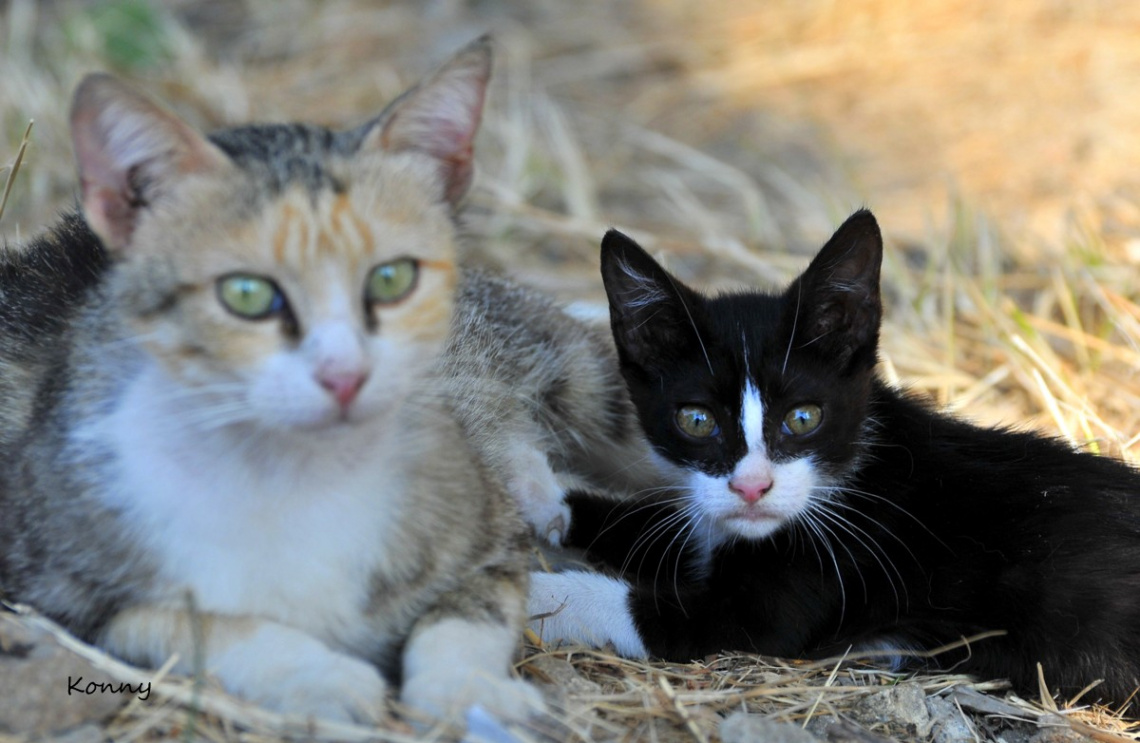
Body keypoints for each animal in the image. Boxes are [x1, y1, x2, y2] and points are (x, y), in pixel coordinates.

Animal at [528, 210, 1140, 715]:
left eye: (804, 418)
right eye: (697, 420)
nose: (752, 487)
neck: (851, 474)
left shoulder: (803, 584)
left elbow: (654, 611)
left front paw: (534, 592)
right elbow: (652, 524)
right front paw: (542, 495)